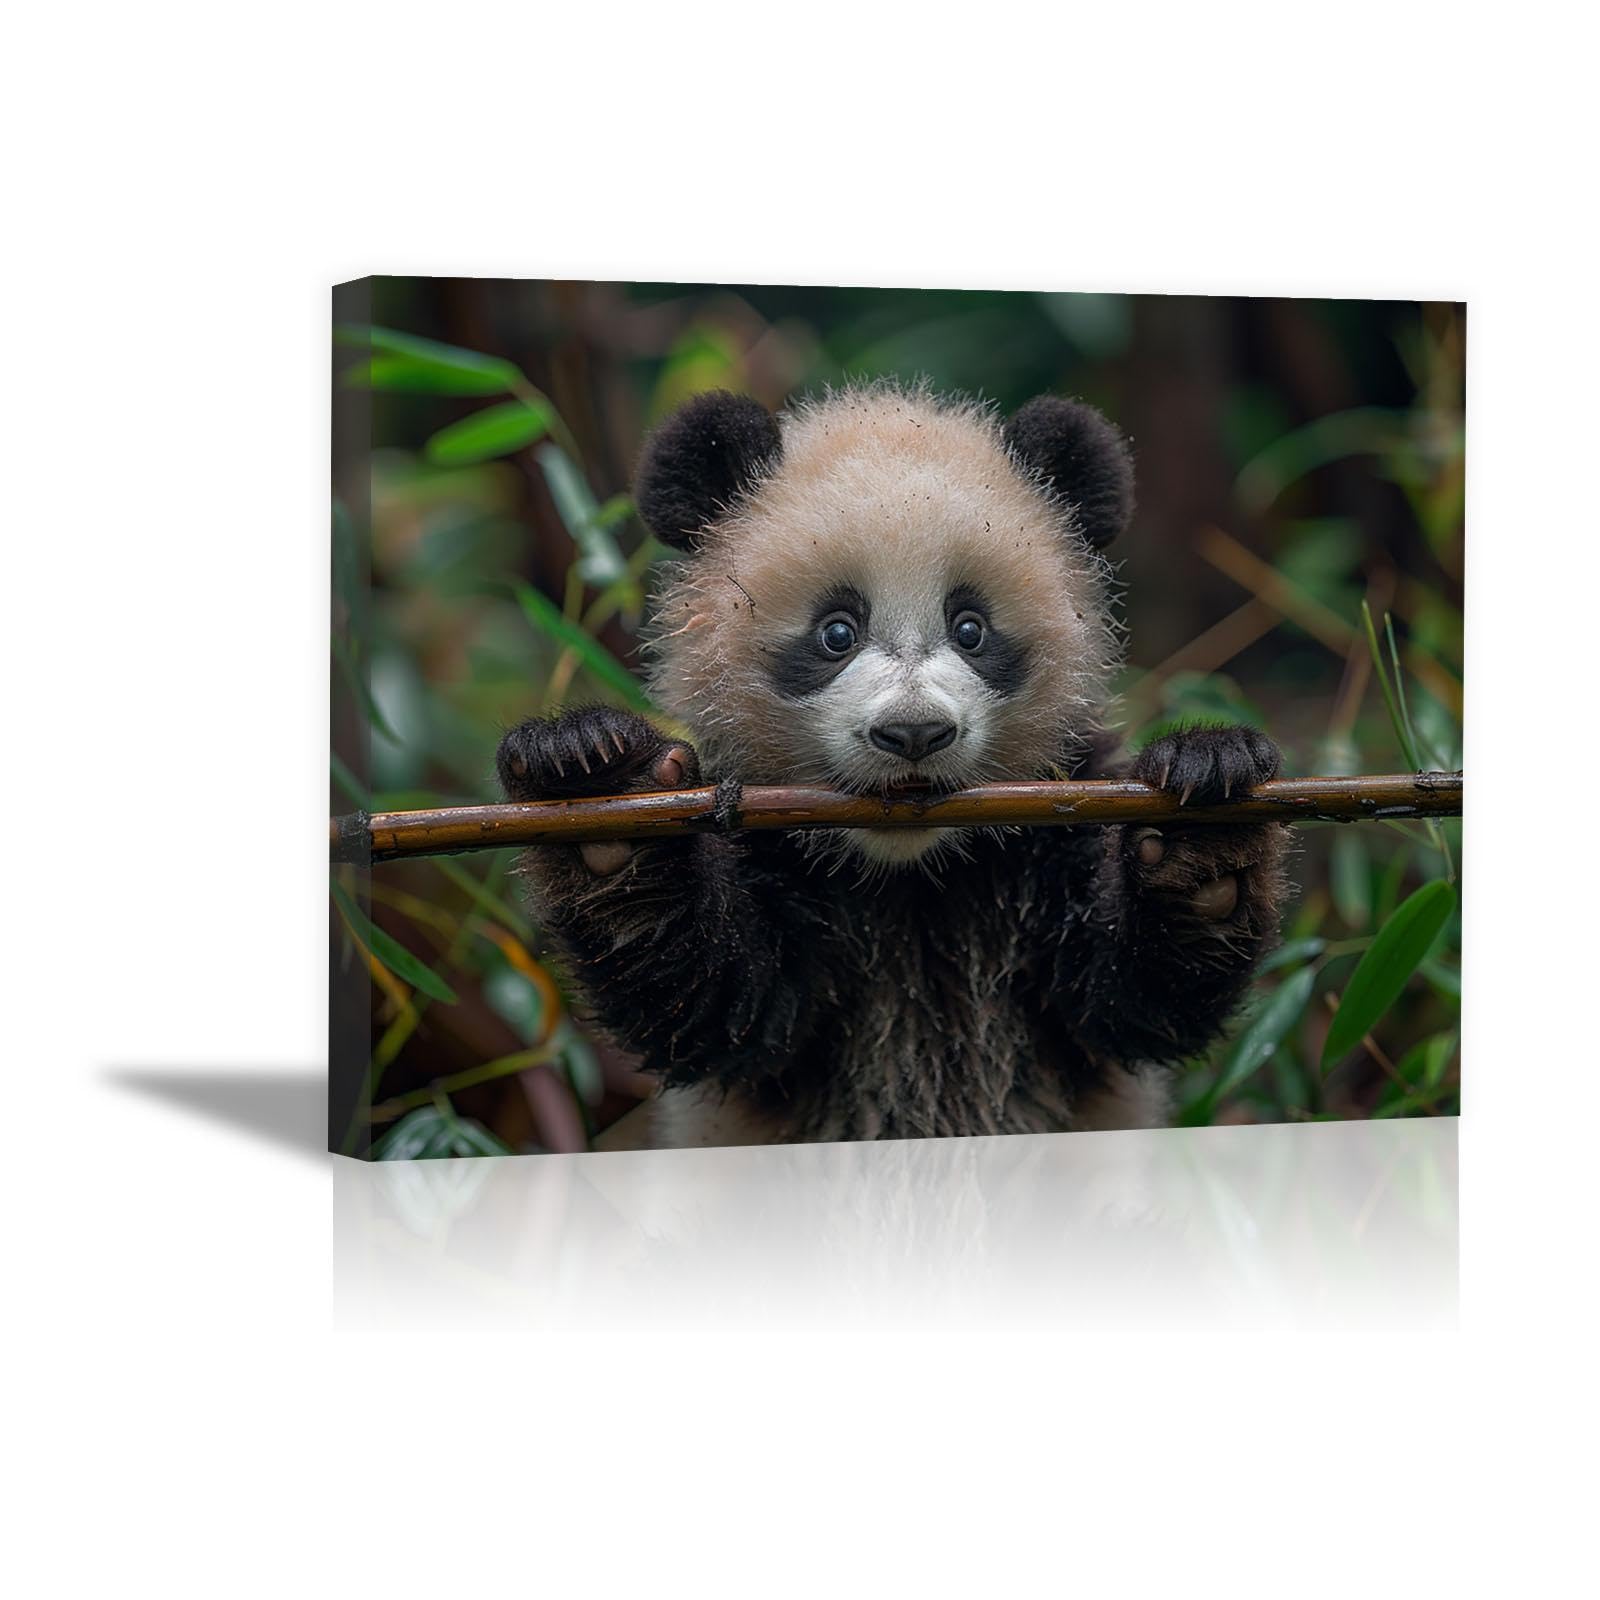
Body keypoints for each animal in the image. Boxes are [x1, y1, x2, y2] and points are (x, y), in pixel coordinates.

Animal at [497, 383, 1288, 1150]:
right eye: (836, 633)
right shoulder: (768, 857)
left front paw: (1202, 826)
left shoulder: (1062, 817)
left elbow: (1132, 999)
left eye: (970, 628)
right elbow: (709, 999)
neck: (909, 876)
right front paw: (601, 790)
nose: (913, 733)